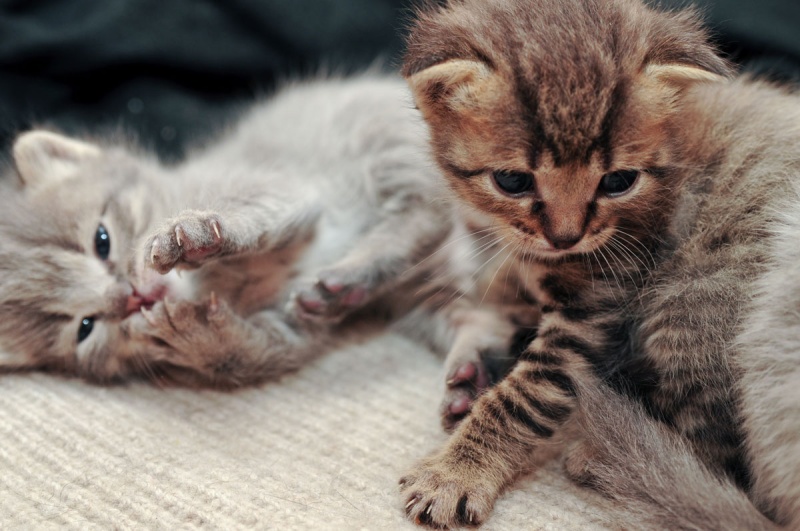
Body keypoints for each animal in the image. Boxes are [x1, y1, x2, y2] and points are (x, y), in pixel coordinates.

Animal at [0, 74, 538, 400]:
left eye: (102, 241)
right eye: (86, 327)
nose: (132, 296)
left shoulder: (282, 186)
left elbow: (252, 213)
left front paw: (194, 231)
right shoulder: (294, 328)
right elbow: (247, 354)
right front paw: (201, 339)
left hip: (392, 147)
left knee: (423, 209)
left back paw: (346, 273)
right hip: (419, 298)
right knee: (480, 317)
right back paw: (467, 371)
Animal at [398, 0, 800, 528]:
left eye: (618, 181)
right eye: (512, 181)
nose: (566, 236)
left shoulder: (595, 309)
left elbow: (525, 397)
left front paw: (456, 473)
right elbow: (496, 295)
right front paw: (472, 368)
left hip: (692, 304)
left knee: (725, 456)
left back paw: (616, 459)